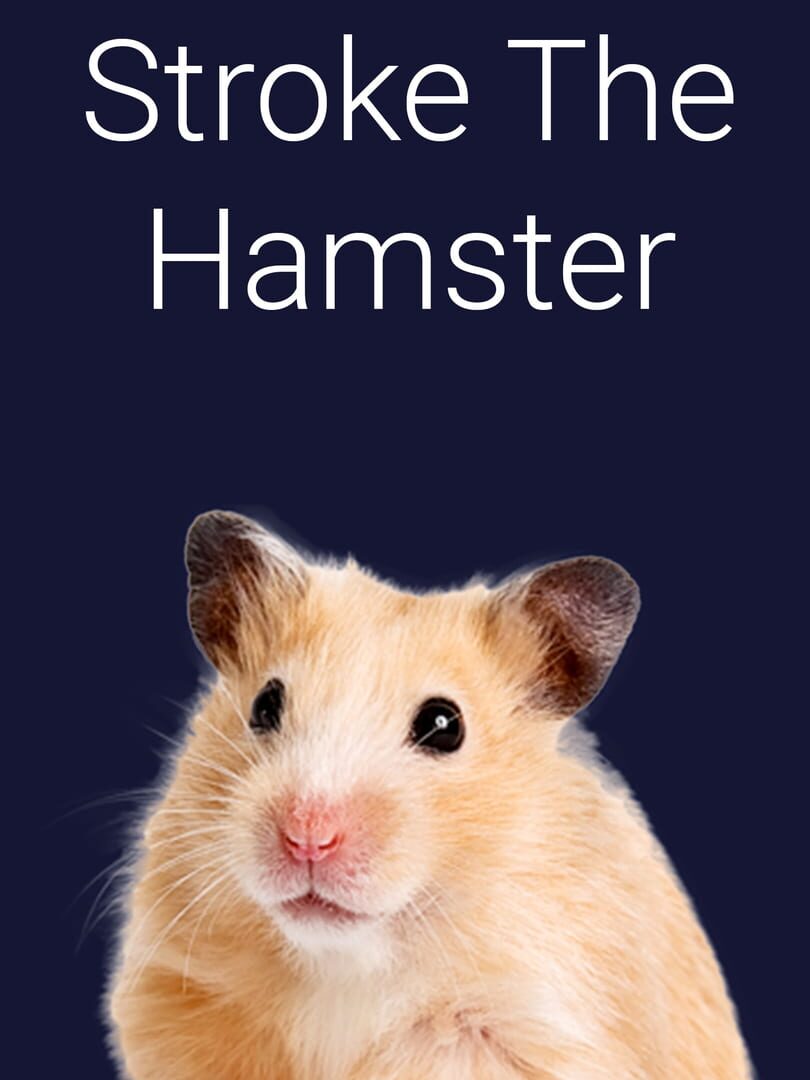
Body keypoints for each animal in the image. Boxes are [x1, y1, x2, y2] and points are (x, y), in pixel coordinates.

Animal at [107, 510, 752, 1080]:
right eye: (265, 704)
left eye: (445, 725)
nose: (307, 838)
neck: (345, 964)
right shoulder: (176, 992)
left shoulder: (526, 1030)